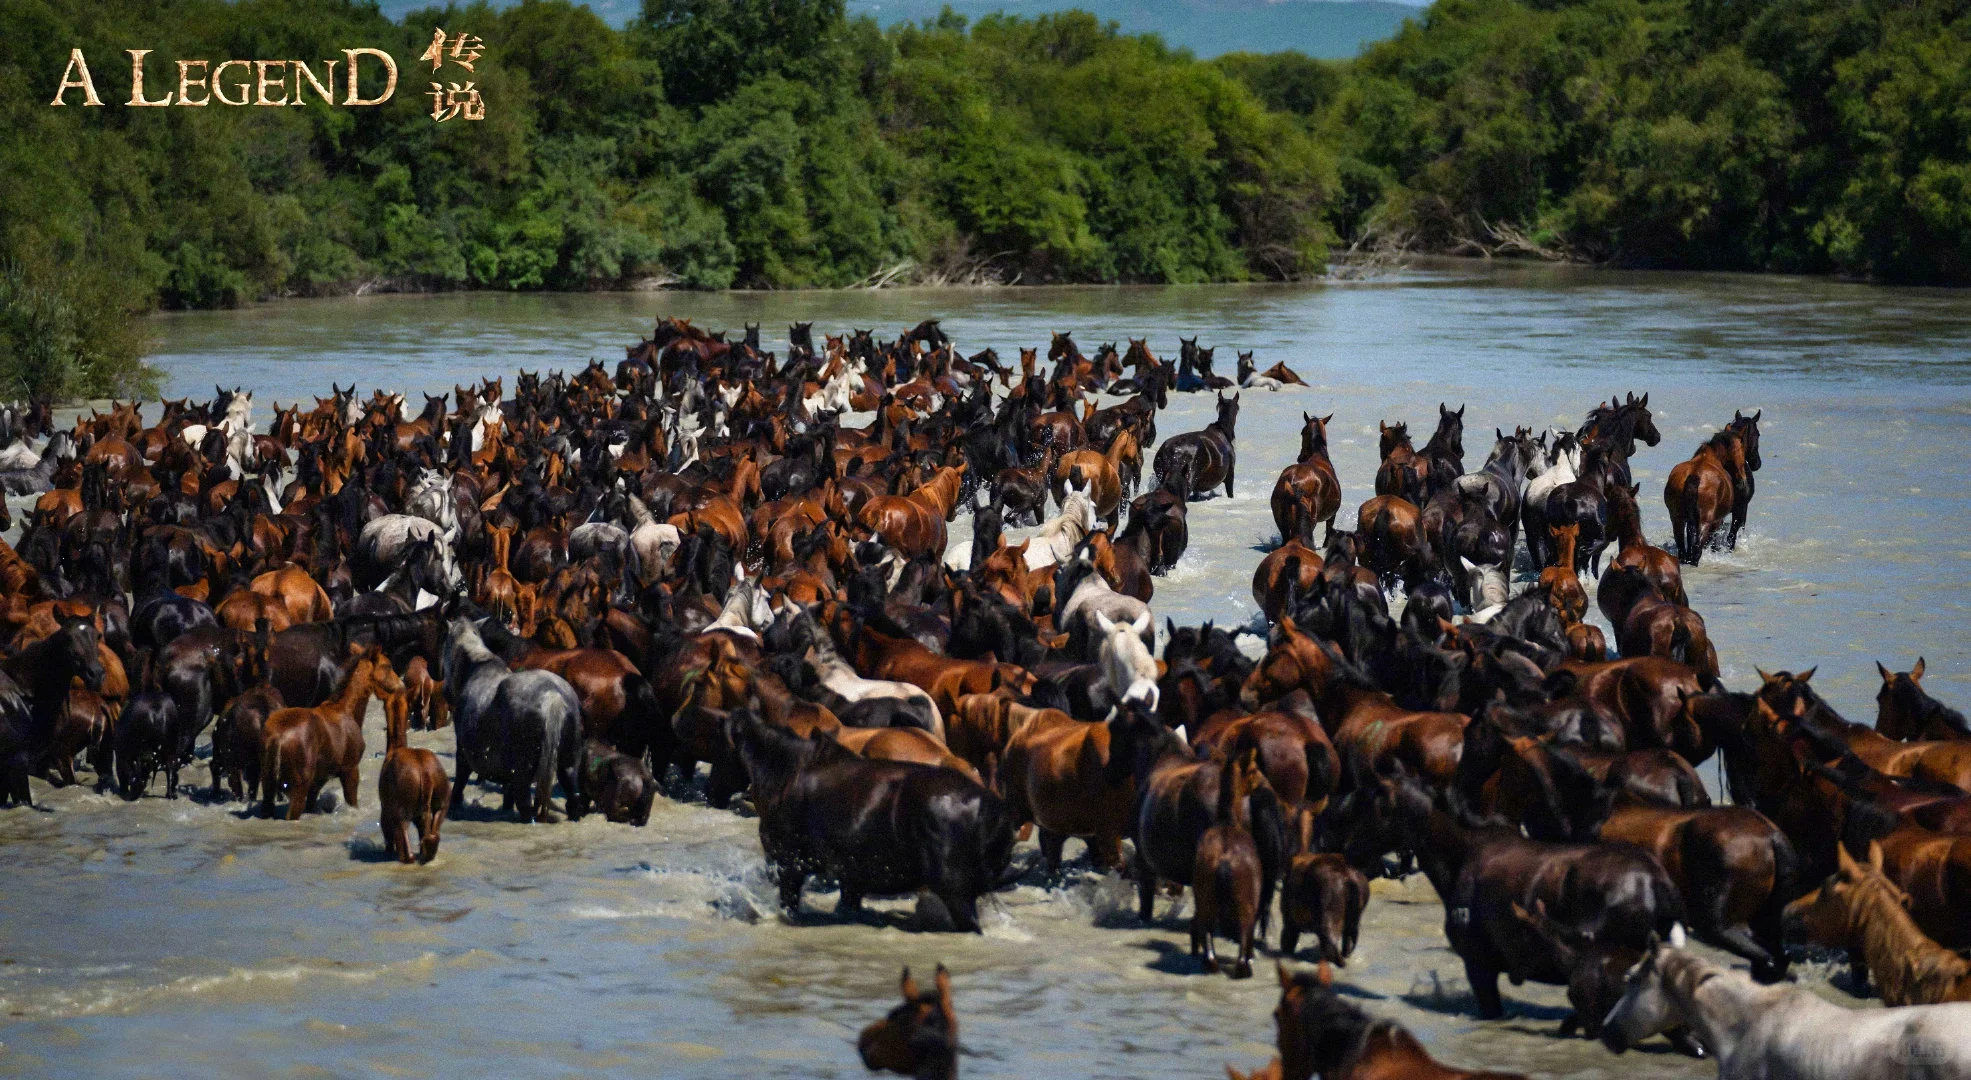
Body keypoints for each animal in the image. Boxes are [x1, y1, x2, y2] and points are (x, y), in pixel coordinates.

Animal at [1269, 413, 1348, 547]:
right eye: (1302, 432)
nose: (1300, 457)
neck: (1319, 455)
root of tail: (1293, 479)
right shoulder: (1332, 516)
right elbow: (1328, 534)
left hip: (1280, 520)